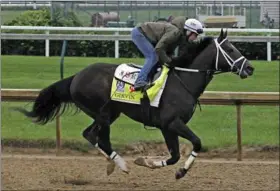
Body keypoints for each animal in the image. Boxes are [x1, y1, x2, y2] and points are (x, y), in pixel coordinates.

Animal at [16, 28, 255, 179]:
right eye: (231, 49)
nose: (250, 68)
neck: (183, 80)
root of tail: (76, 76)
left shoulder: (168, 127)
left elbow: (175, 156)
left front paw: (148, 162)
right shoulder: (172, 123)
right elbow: (196, 143)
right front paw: (180, 171)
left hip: (110, 113)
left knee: (93, 135)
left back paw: (113, 163)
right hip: (102, 113)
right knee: (96, 137)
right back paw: (119, 164)